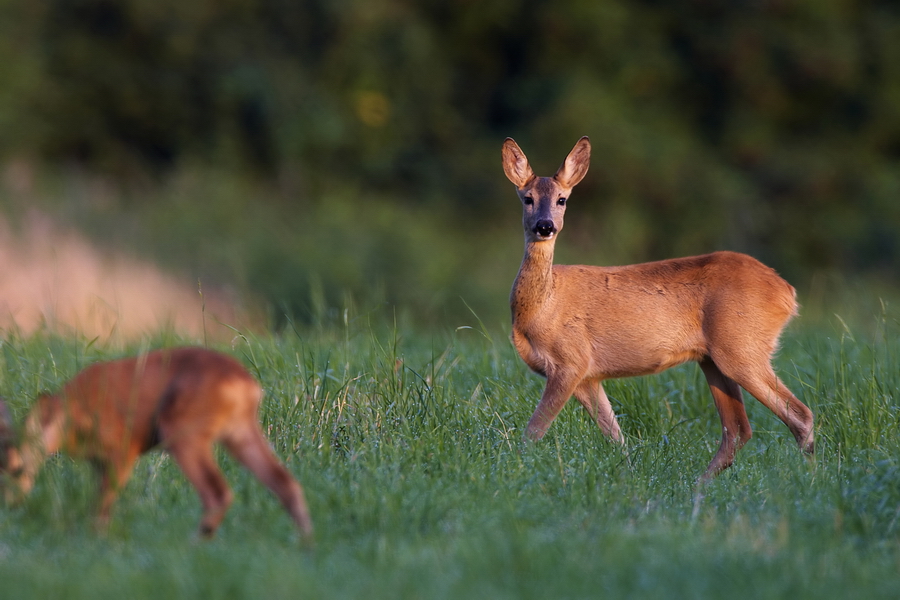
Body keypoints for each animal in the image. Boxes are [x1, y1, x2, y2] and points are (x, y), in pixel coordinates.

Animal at [0, 346, 314, 540]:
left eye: (17, 470)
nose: (9, 509)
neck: (73, 415)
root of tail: (247, 385)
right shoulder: (100, 462)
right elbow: (100, 500)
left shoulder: (123, 449)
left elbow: (103, 504)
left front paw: (97, 540)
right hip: (240, 433)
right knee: (286, 483)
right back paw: (305, 548)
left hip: (182, 430)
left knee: (217, 492)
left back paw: (191, 545)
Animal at [506, 137, 816, 482]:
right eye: (528, 198)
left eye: (562, 199)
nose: (545, 226)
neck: (540, 307)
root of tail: (787, 291)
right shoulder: (588, 376)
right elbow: (616, 436)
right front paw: (629, 476)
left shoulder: (570, 360)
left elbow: (534, 430)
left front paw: (514, 468)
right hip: (713, 358)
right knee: (737, 428)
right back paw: (699, 485)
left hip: (742, 347)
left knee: (799, 414)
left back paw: (811, 478)